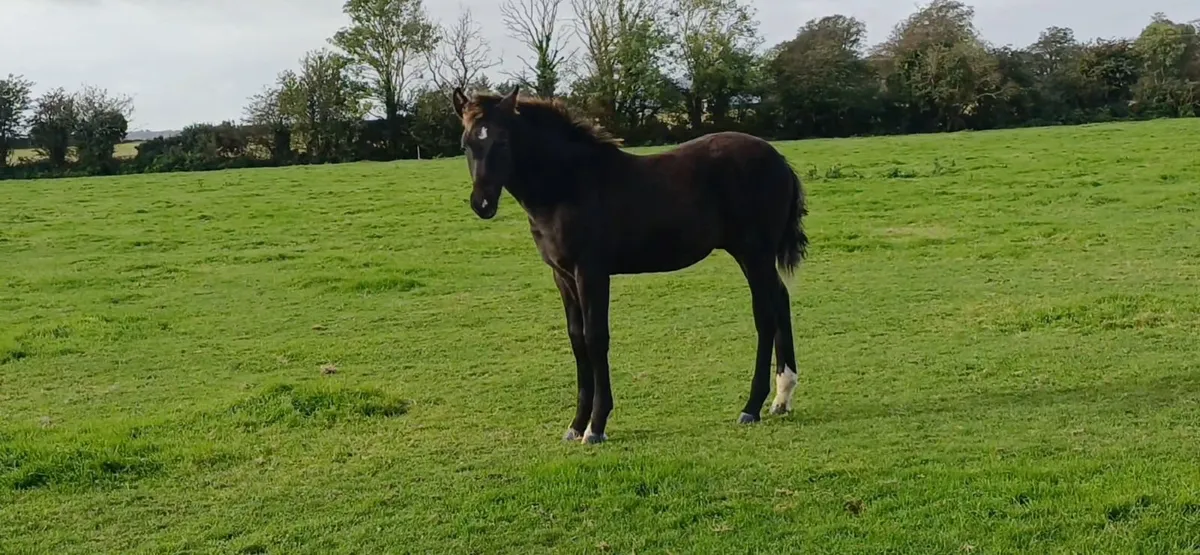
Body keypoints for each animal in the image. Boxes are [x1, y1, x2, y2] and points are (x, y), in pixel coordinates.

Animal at [451, 86, 809, 444]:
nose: (482, 204)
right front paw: (575, 426)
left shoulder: (591, 272)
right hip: (751, 254)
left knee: (765, 314)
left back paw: (752, 406)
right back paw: (782, 397)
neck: (568, 184)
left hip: (754, 252)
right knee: (780, 299)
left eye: (502, 141)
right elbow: (576, 339)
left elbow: (596, 338)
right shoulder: (562, 275)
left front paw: (596, 427)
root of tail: (779, 160)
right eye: (465, 144)